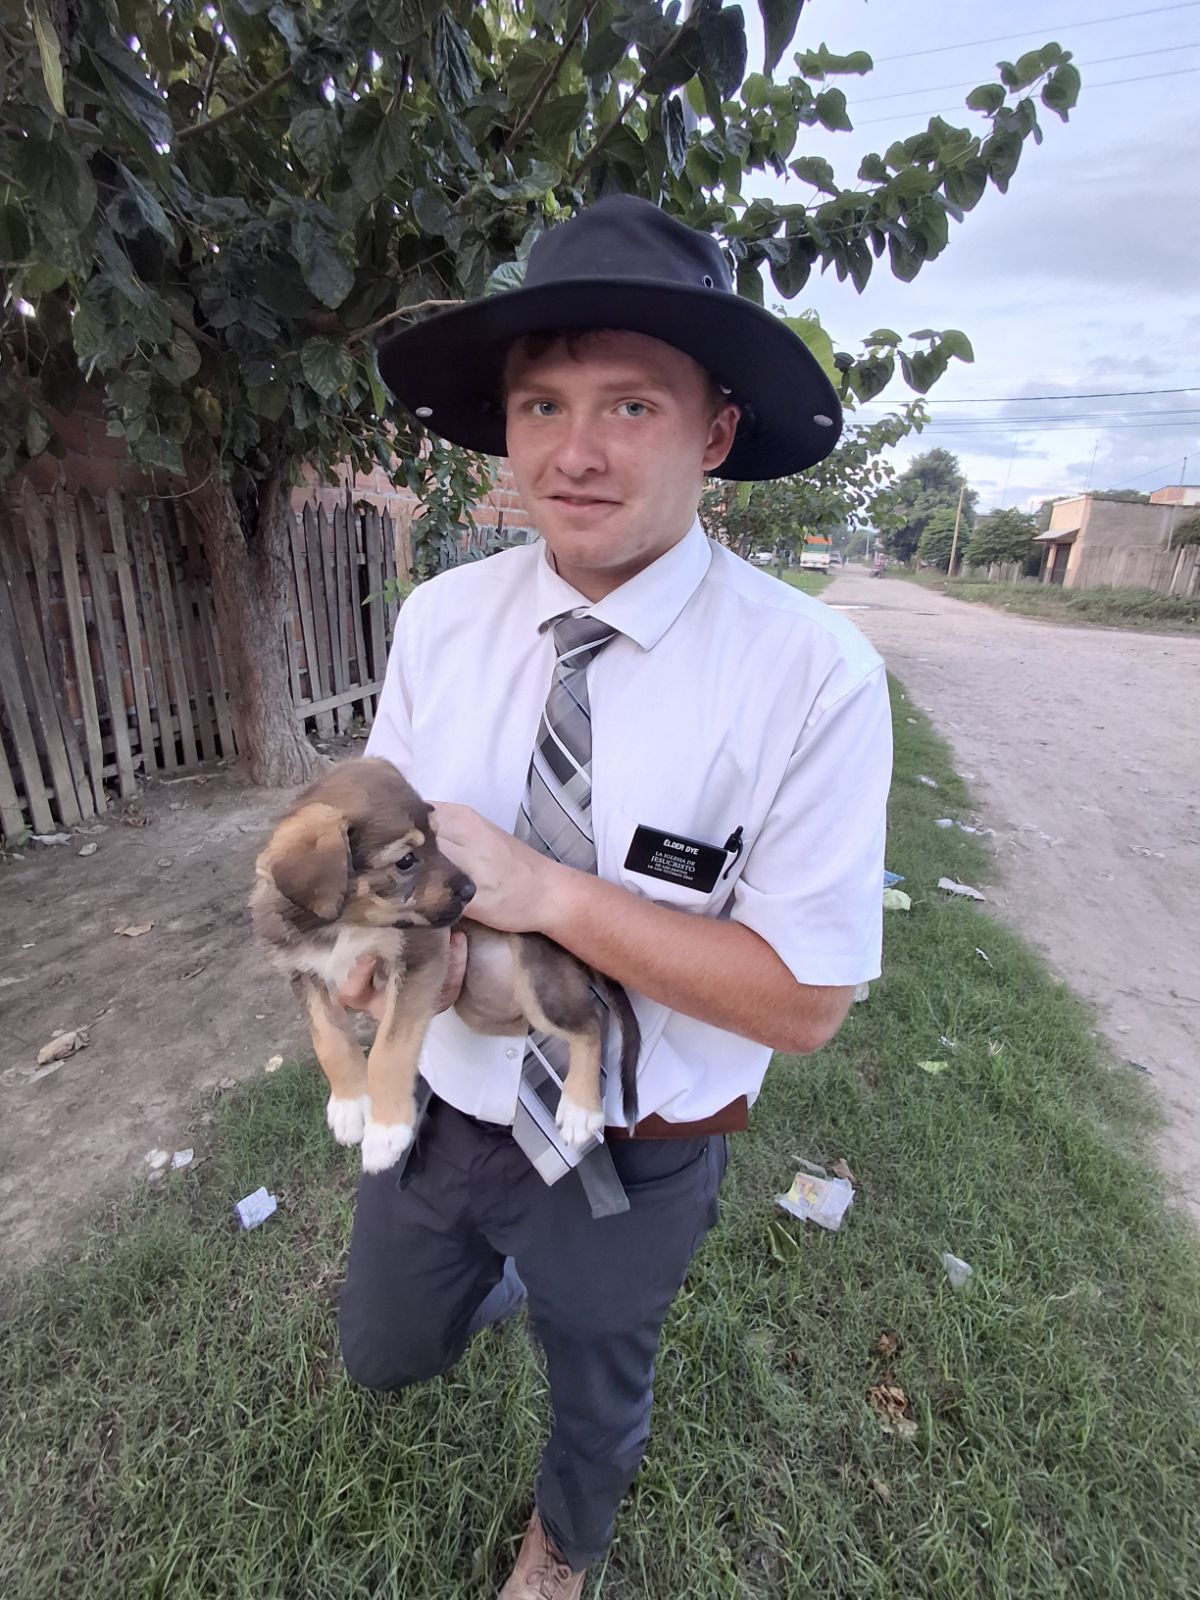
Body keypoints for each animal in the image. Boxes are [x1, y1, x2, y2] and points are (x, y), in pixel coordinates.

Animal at [252, 758, 639, 1172]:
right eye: (406, 860)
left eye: (441, 840)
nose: (471, 891)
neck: (346, 924)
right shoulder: (305, 973)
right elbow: (330, 1041)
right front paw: (349, 1104)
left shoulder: (420, 959)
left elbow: (389, 1051)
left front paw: (386, 1131)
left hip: (539, 982)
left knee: (590, 1024)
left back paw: (581, 1110)